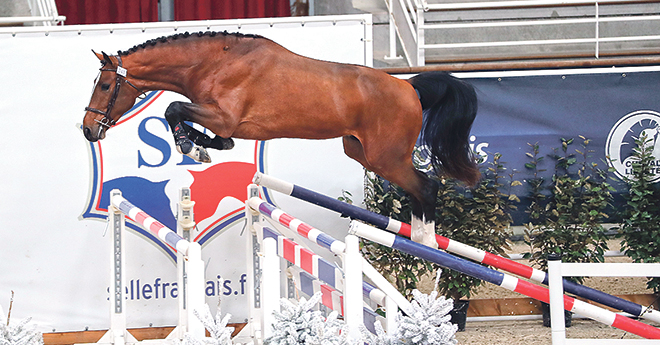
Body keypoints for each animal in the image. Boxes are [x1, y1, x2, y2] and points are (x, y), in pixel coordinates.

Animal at [81, 30, 480, 247]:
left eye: (105, 86)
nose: (87, 128)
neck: (211, 63)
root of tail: (408, 86)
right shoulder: (226, 124)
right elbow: (217, 138)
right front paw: (201, 147)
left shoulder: (222, 116)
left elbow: (173, 109)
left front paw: (191, 147)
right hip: (362, 153)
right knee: (418, 189)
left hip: (386, 157)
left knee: (426, 186)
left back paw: (427, 245)